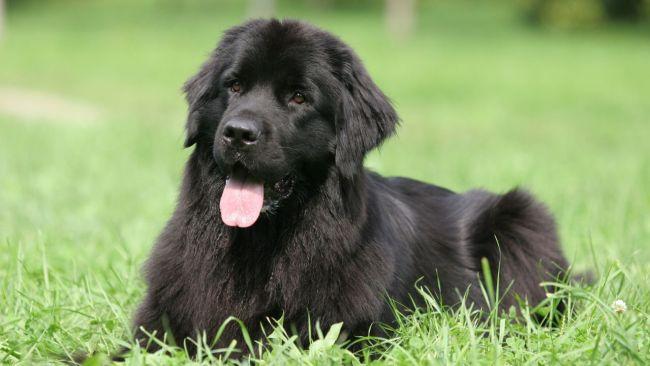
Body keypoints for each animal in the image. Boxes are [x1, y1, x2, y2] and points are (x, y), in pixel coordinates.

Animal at [130, 19, 568, 354]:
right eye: (234, 86)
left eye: (298, 97)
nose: (238, 133)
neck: (260, 245)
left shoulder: (350, 332)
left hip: (521, 217)